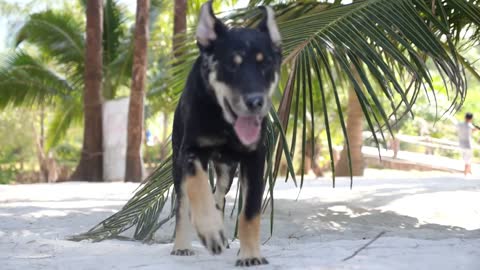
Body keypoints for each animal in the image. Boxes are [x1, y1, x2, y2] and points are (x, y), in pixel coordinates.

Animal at [171, 0, 282, 266]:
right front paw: (210, 230)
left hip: (228, 169)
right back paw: (182, 245)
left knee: (219, 195)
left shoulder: (255, 158)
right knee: (183, 204)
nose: (256, 102)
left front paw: (251, 255)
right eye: (232, 64)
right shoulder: (191, 151)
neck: (223, 121)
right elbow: (198, 188)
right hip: (178, 162)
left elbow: (249, 211)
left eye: (266, 64)